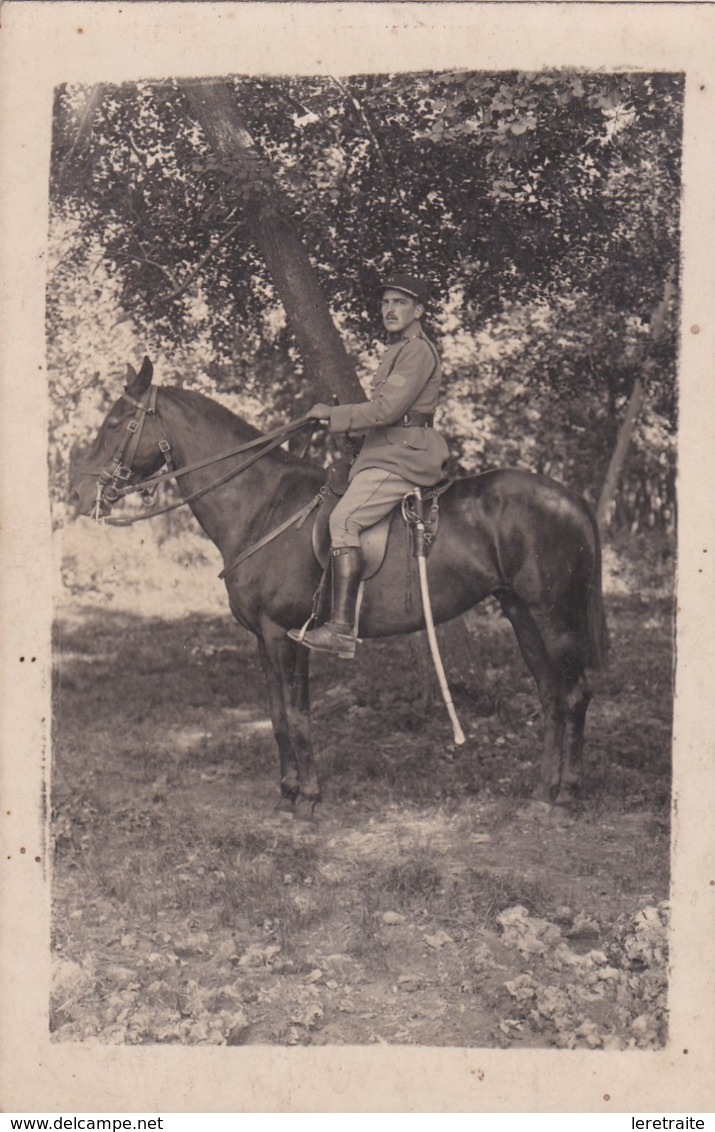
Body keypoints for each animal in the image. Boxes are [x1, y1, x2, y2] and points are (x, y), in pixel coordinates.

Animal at [69, 357, 610, 810]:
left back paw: (568, 794)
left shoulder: (285, 635)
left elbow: (297, 715)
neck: (263, 504)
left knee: (574, 692)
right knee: (550, 694)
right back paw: (543, 791)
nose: (77, 492)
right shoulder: (264, 639)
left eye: (116, 421)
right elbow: (277, 715)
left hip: (554, 615)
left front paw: (308, 796)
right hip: (520, 612)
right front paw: (288, 790)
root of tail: (569, 498)